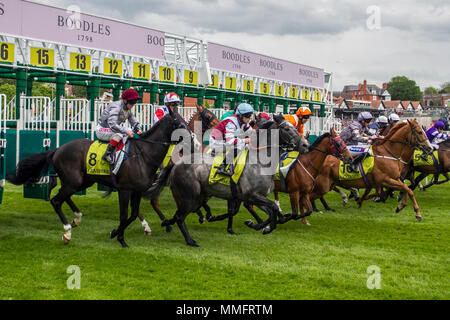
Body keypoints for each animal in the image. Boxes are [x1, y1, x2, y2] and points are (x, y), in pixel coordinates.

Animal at [7, 111, 191, 249]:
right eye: (180, 124)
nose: (192, 137)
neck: (143, 155)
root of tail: (58, 149)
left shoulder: (137, 191)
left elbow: (132, 215)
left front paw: (115, 233)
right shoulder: (124, 189)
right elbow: (124, 215)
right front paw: (121, 239)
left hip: (82, 181)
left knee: (63, 196)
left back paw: (77, 217)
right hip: (74, 181)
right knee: (56, 200)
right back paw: (67, 232)